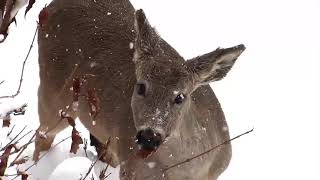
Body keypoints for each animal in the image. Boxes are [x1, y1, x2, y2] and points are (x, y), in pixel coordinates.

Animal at [34, 0, 245, 179]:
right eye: (141, 86)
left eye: (180, 96)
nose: (149, 136)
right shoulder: (131, 168)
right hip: (54, 90)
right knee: (42, 134)